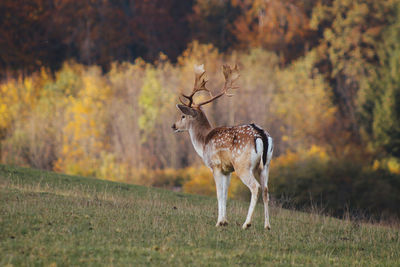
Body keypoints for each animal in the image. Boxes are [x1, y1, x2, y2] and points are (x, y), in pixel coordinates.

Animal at [170, 65, 274, 230]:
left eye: (183, 116)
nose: (173, 126)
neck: (203, 142)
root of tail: (261, 134)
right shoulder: (227, 170)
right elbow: (225, 193)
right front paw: (225, 221)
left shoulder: (216, 165)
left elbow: (219, 193)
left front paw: (219, 222)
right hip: (266, 165)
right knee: (265, 190)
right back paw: (267, 225)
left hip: (243, 165)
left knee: (255, 187)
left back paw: (246, 223)